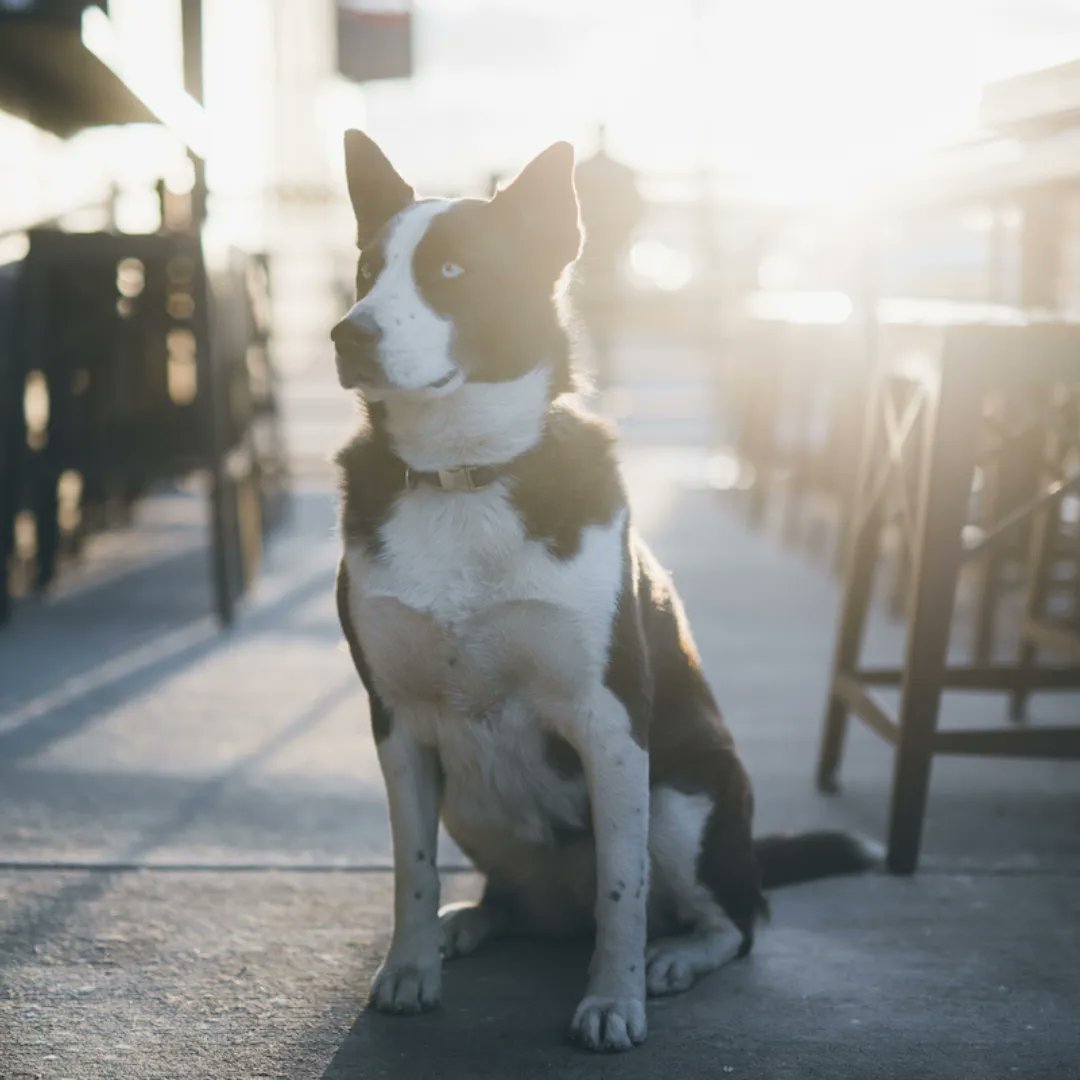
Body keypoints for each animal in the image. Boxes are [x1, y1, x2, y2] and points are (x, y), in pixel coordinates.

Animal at [330, 130, 868, 1049]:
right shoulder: (396, 721)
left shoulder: (610, 720)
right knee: (513, 899)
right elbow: (411, 869)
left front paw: (613, 999)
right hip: (471, 803)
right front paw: (410, 967)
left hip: (685, 796)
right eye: (367, 268)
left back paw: (677, 956)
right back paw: (472, 921)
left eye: (452, 271)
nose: (347, 334)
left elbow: (624, 886)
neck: (463, 475)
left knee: (736, 920)